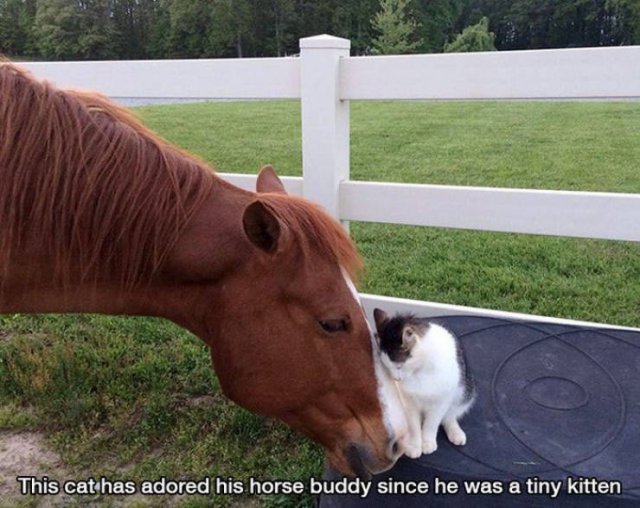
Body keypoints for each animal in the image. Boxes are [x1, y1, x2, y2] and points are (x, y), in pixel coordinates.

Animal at [370, 308, 476, 458]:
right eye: (387, 367)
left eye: (399, 367)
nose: (396, 379)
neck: (419, 370)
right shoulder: (408, 403)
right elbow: (414, 426)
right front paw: (415, 445)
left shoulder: (441, 401)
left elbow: (432, 423)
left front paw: (428, 442)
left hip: (464, 394)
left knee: (448, 416)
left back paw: (455, 432)